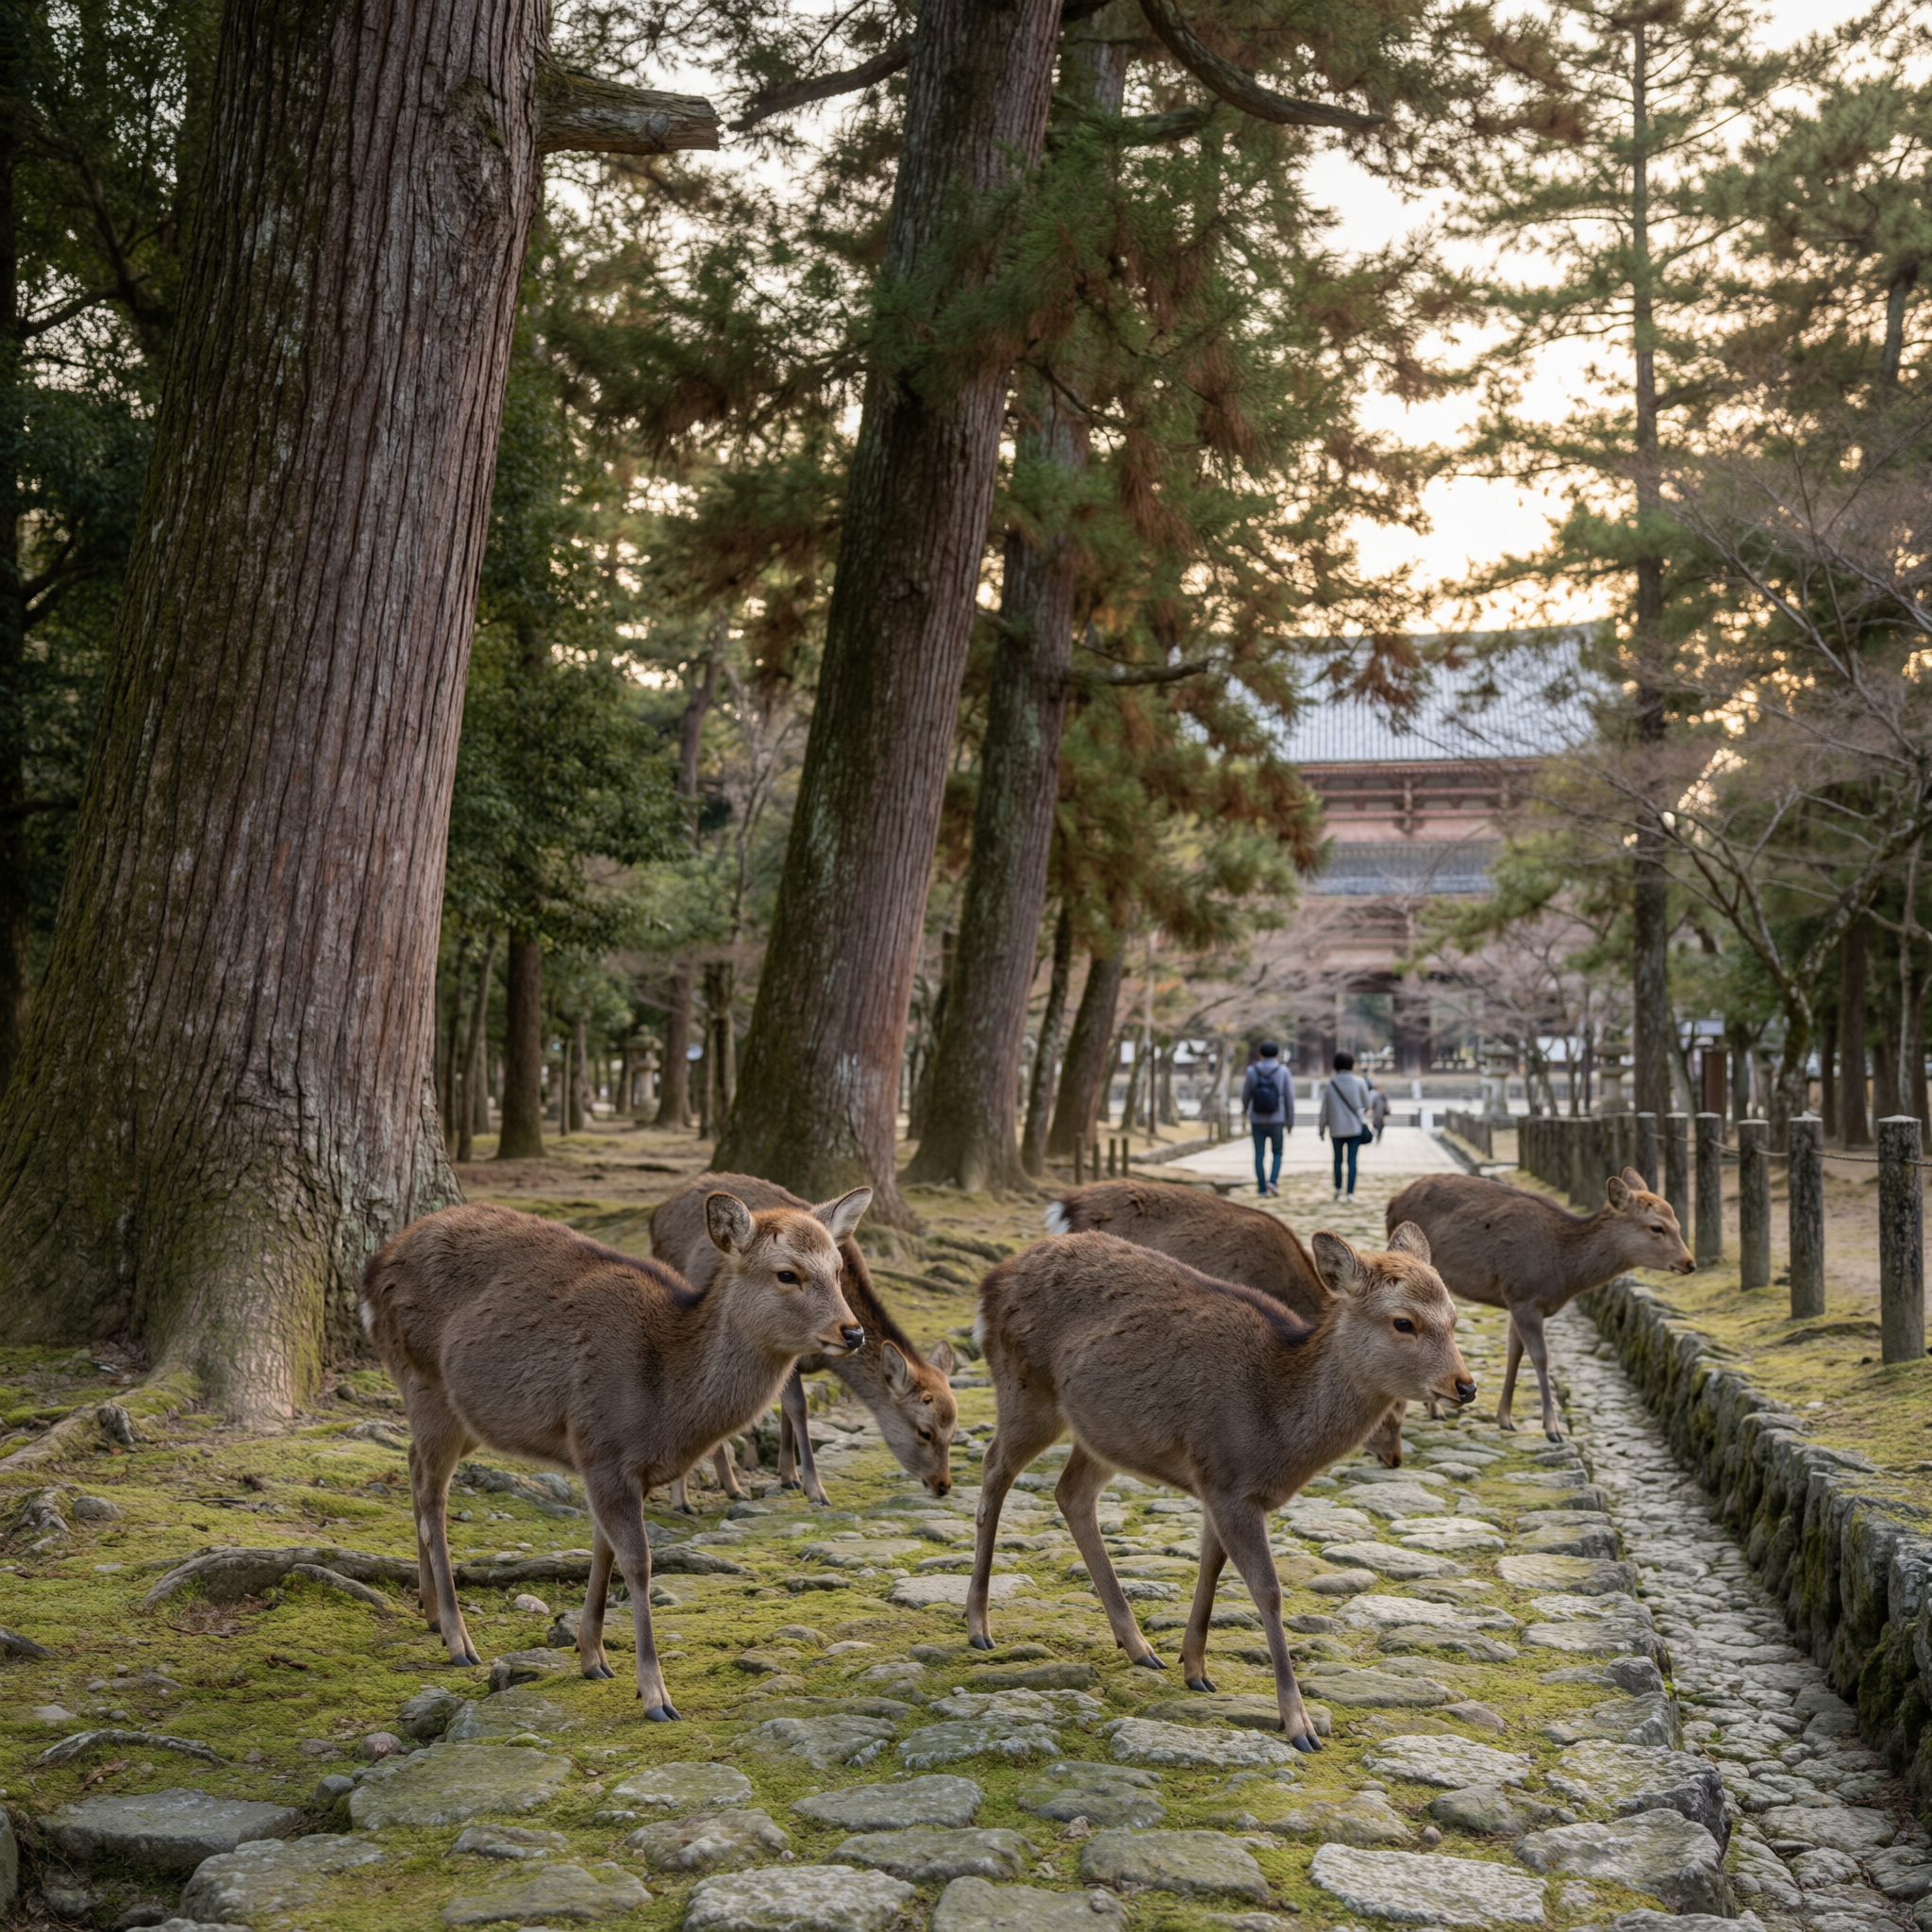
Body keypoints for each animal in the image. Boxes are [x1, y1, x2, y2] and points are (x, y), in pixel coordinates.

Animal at [358, 1188, 869, 1721]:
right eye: (787, 1273)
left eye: (838, 1269)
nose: (853, 1332)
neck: (664, 1405)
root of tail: (373, 1272)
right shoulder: (602, 1446)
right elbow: (638, 1561)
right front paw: (656, 1696)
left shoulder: (614, 1466)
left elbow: (602, 1550)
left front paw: (593, 1656)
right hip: (424, 1380)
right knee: (433, 1496)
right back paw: (459, 1639)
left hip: (466, 1413)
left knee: (412, 1462)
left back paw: (430, 1611)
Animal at [650, 1172, 956, 1509]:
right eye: (925, 1431)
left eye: (954, 1430)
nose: (943, 1485)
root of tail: (658, 1211)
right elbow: (798, 1408)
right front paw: (816, 1490)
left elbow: (785, 1411)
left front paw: (788, 1476)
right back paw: (683, 1499)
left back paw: (731, 1487)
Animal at [966, 1225, 1474, 1752]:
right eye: (1403, 1322)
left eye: (1455, 1320)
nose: (1465, 1386)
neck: (1278, 1431)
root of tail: (992, 1280)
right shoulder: (1229, 1482)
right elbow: (1267, 1590)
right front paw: (1299, 1725)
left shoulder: (1216, 1483)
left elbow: (1210, 1567)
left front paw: (1195, 1668)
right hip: (1026, 1390)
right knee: (994, 1471)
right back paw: (979, 1626)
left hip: (1102, 1431)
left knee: (1071, 1493)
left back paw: (1138, 1645)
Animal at [1387, 1167, 1694, 1441]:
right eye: (1657, 1227)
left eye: (1679, 1223)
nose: (1690, 1263)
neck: (1562, 1273)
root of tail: (1393, 1202)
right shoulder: (1525, 1296)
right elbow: (1541, 1357)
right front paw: (1553, 1429)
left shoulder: (1515, 1300)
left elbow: (1515, 1353)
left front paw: (1506, 1419)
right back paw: (1433, 1409)